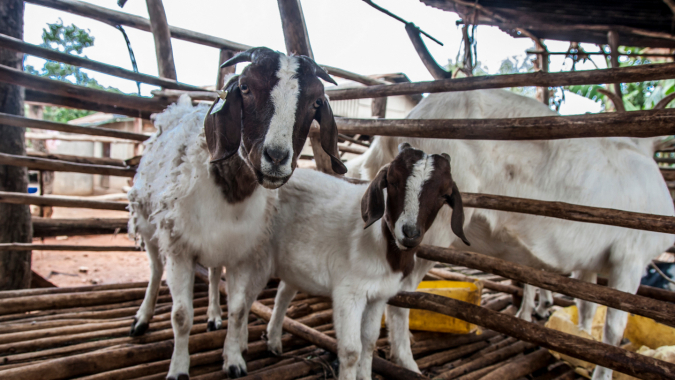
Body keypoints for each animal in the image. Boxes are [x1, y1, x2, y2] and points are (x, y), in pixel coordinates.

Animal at [127, 48, 348, 380]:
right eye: (244, 87)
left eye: (316, 102)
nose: (277, 157)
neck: (229, 191)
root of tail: (175, 110)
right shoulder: (179, 250)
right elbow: (181, 315)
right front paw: (178, 369)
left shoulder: (243, 253)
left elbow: (239, 309)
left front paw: (233, 360)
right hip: (148, 223)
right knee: (154, 271)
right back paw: (142, 318)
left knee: (213, 273)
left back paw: (213, 316)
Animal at [348, 89, 675, 380]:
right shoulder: (630, 257)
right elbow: (614, 329)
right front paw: (602, 373)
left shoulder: (590, 264)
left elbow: (587, 308)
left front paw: (582, 342)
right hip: (429, 231)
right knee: (401, 295)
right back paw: (407, 363)